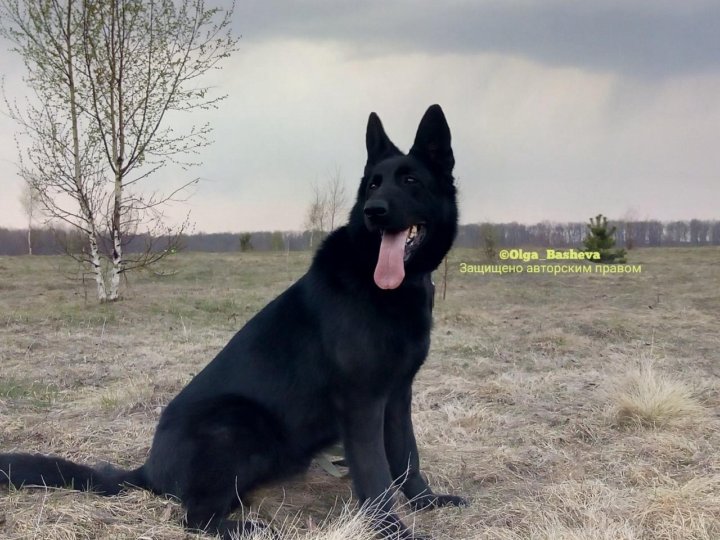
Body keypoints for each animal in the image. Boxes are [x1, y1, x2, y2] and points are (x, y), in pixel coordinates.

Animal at [0, 105, 464, 540]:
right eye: (373, 184)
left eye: (410, 181)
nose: (374, 211)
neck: (384, 282)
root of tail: (147, 471)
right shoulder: (362, 403)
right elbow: (376, 474)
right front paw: (393, 529)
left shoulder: (397, 396)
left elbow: (406, 455)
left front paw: (425, 501)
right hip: (236, 423)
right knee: (194, 517)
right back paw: (249, 526)